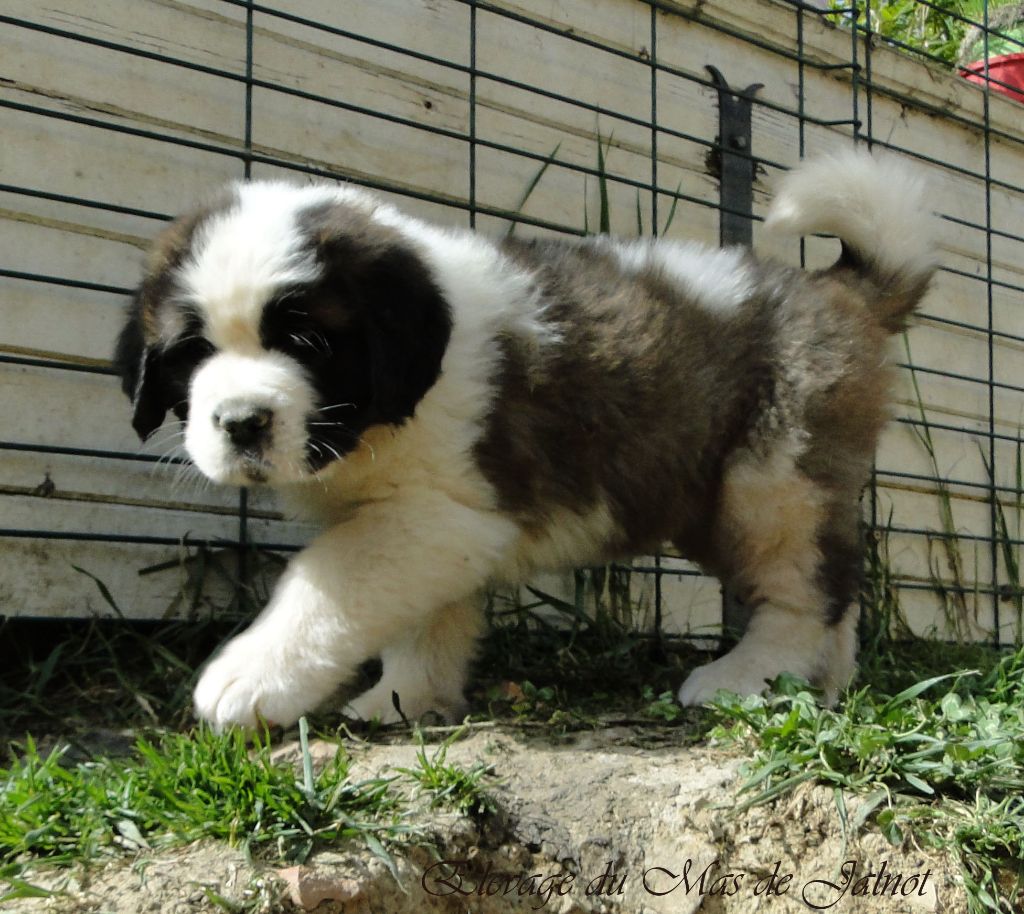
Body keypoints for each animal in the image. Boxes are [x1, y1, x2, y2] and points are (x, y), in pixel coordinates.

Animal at [114, 150, 934, 730]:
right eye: (191, 355)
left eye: (307, 342)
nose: (241, 421)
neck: (387, 410)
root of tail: (836, 288)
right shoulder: (434, 531)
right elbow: (425, 618)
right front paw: (405, 700)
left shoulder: (432, 512)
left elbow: (327, 585)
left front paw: (250, 678)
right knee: (838, 584)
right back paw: (824, 686)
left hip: (770, 482)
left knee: (804, 591)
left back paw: (744, 678)